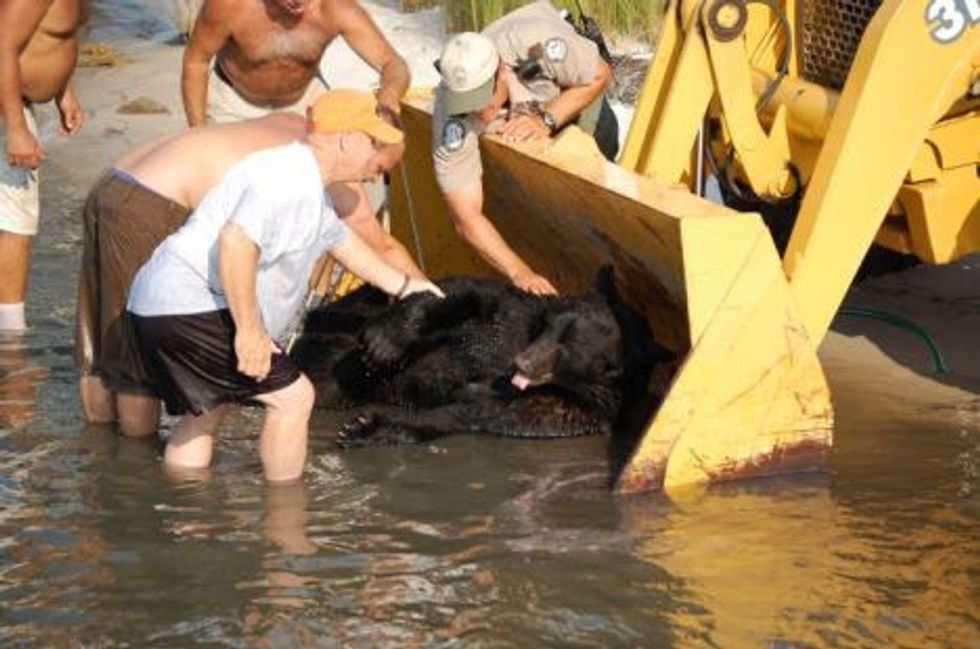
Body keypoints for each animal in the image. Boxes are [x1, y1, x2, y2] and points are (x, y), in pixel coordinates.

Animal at [290, 270, 671, 447]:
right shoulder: (514, 315)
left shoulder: (563, 407)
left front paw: (365, 428)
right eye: (551, 326)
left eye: (572, 347)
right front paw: (386, 340)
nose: (522, 362)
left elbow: (469, 414)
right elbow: (462, 295)